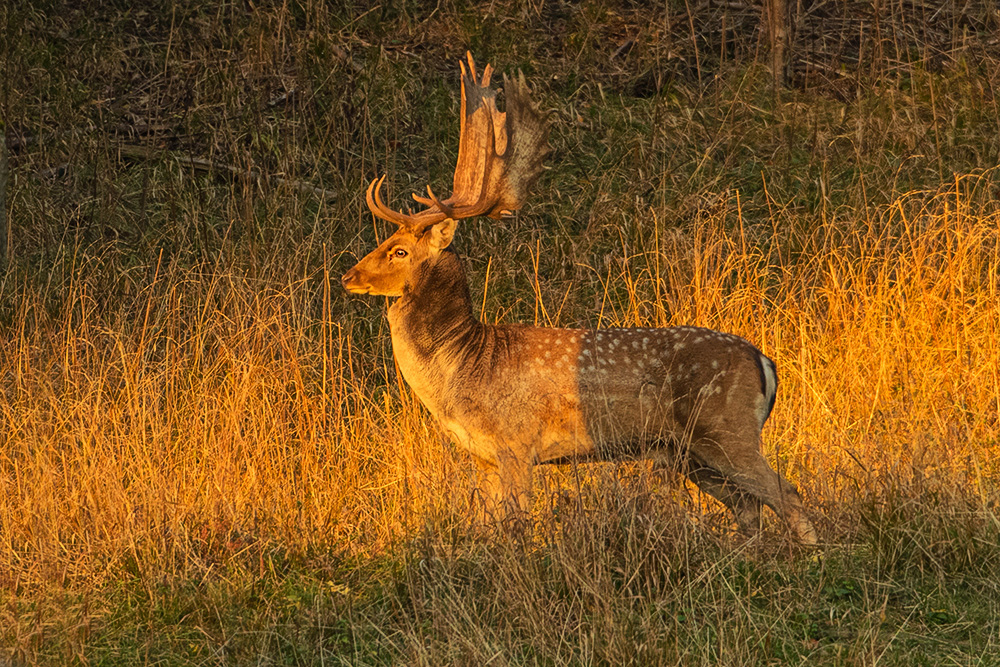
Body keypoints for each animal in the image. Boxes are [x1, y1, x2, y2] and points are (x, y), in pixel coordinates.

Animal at [344, 54, 820, 544]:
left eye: (400, 250)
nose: (349, 276)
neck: (465, 366)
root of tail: (764, 361)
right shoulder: (485, 457)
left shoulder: (518, 444)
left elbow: (517, 524)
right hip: (692, 452)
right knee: (749, 506)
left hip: (727, 428)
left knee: (786, 493)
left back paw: (813, 554)